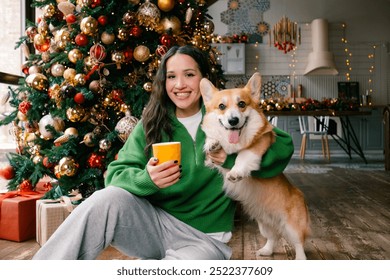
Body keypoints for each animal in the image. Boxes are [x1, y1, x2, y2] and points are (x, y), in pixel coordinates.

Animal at [200, 72, 310, 260]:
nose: (233, 120)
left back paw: (300, 258)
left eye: (242, 104)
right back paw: (265, 250)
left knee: (298, 243)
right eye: (221, 106)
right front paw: (212, 143)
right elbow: (214, 138)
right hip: (264, 224)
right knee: (273, 238)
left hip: (292, 226)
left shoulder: (261, 142)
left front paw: (236, 172)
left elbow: (244, 155)